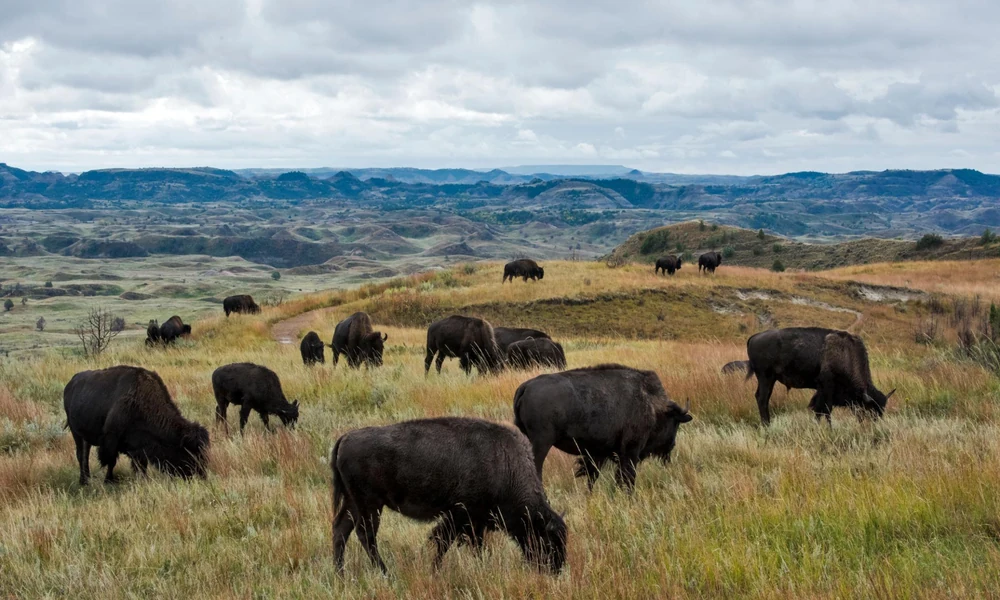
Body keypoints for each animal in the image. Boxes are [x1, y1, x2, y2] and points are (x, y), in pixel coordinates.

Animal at [63, 365, 210, 485]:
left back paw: (87, 478)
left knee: (85, 454)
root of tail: (70, 384)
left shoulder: (139, 447)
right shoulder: (112, 440)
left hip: (85, 437)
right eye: (188, 452)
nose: (201, 475)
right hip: (76, 433)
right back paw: (84, 481)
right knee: (81, 455)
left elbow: (140, 464)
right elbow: (111, 461)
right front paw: (109, 481)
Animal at [332, 417, 567, 574]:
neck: (504, 465)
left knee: (341, 530)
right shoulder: (459, 515)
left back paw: (340, 573)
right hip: (370, 504)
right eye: (547, 540)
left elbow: (473, 544)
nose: (556, 570)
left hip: (354, 502)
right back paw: (385, 573)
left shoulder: (475, 521)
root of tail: (346, 437)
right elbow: (443, 542)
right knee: (366, 535)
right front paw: (434, 570)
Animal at [513, 364, 692, 491]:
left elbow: (593, 477)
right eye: (675, 422)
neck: (650, 402)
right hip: (542, 444)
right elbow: (628, 478)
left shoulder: (598, 454)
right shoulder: (630, 452)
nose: (671, 445)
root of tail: (526, 386)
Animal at [745, 327, 895, 425]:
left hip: (769, 379)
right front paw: (829, 428)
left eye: (881, 411)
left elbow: (819, 409)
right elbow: (826, 409)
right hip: (765, 377)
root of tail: (754, 337)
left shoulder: (821, 390)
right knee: (762, 399)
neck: (846, 354)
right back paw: (766, 425)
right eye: (869, 409)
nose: (873, 425)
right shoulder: (827, 387)